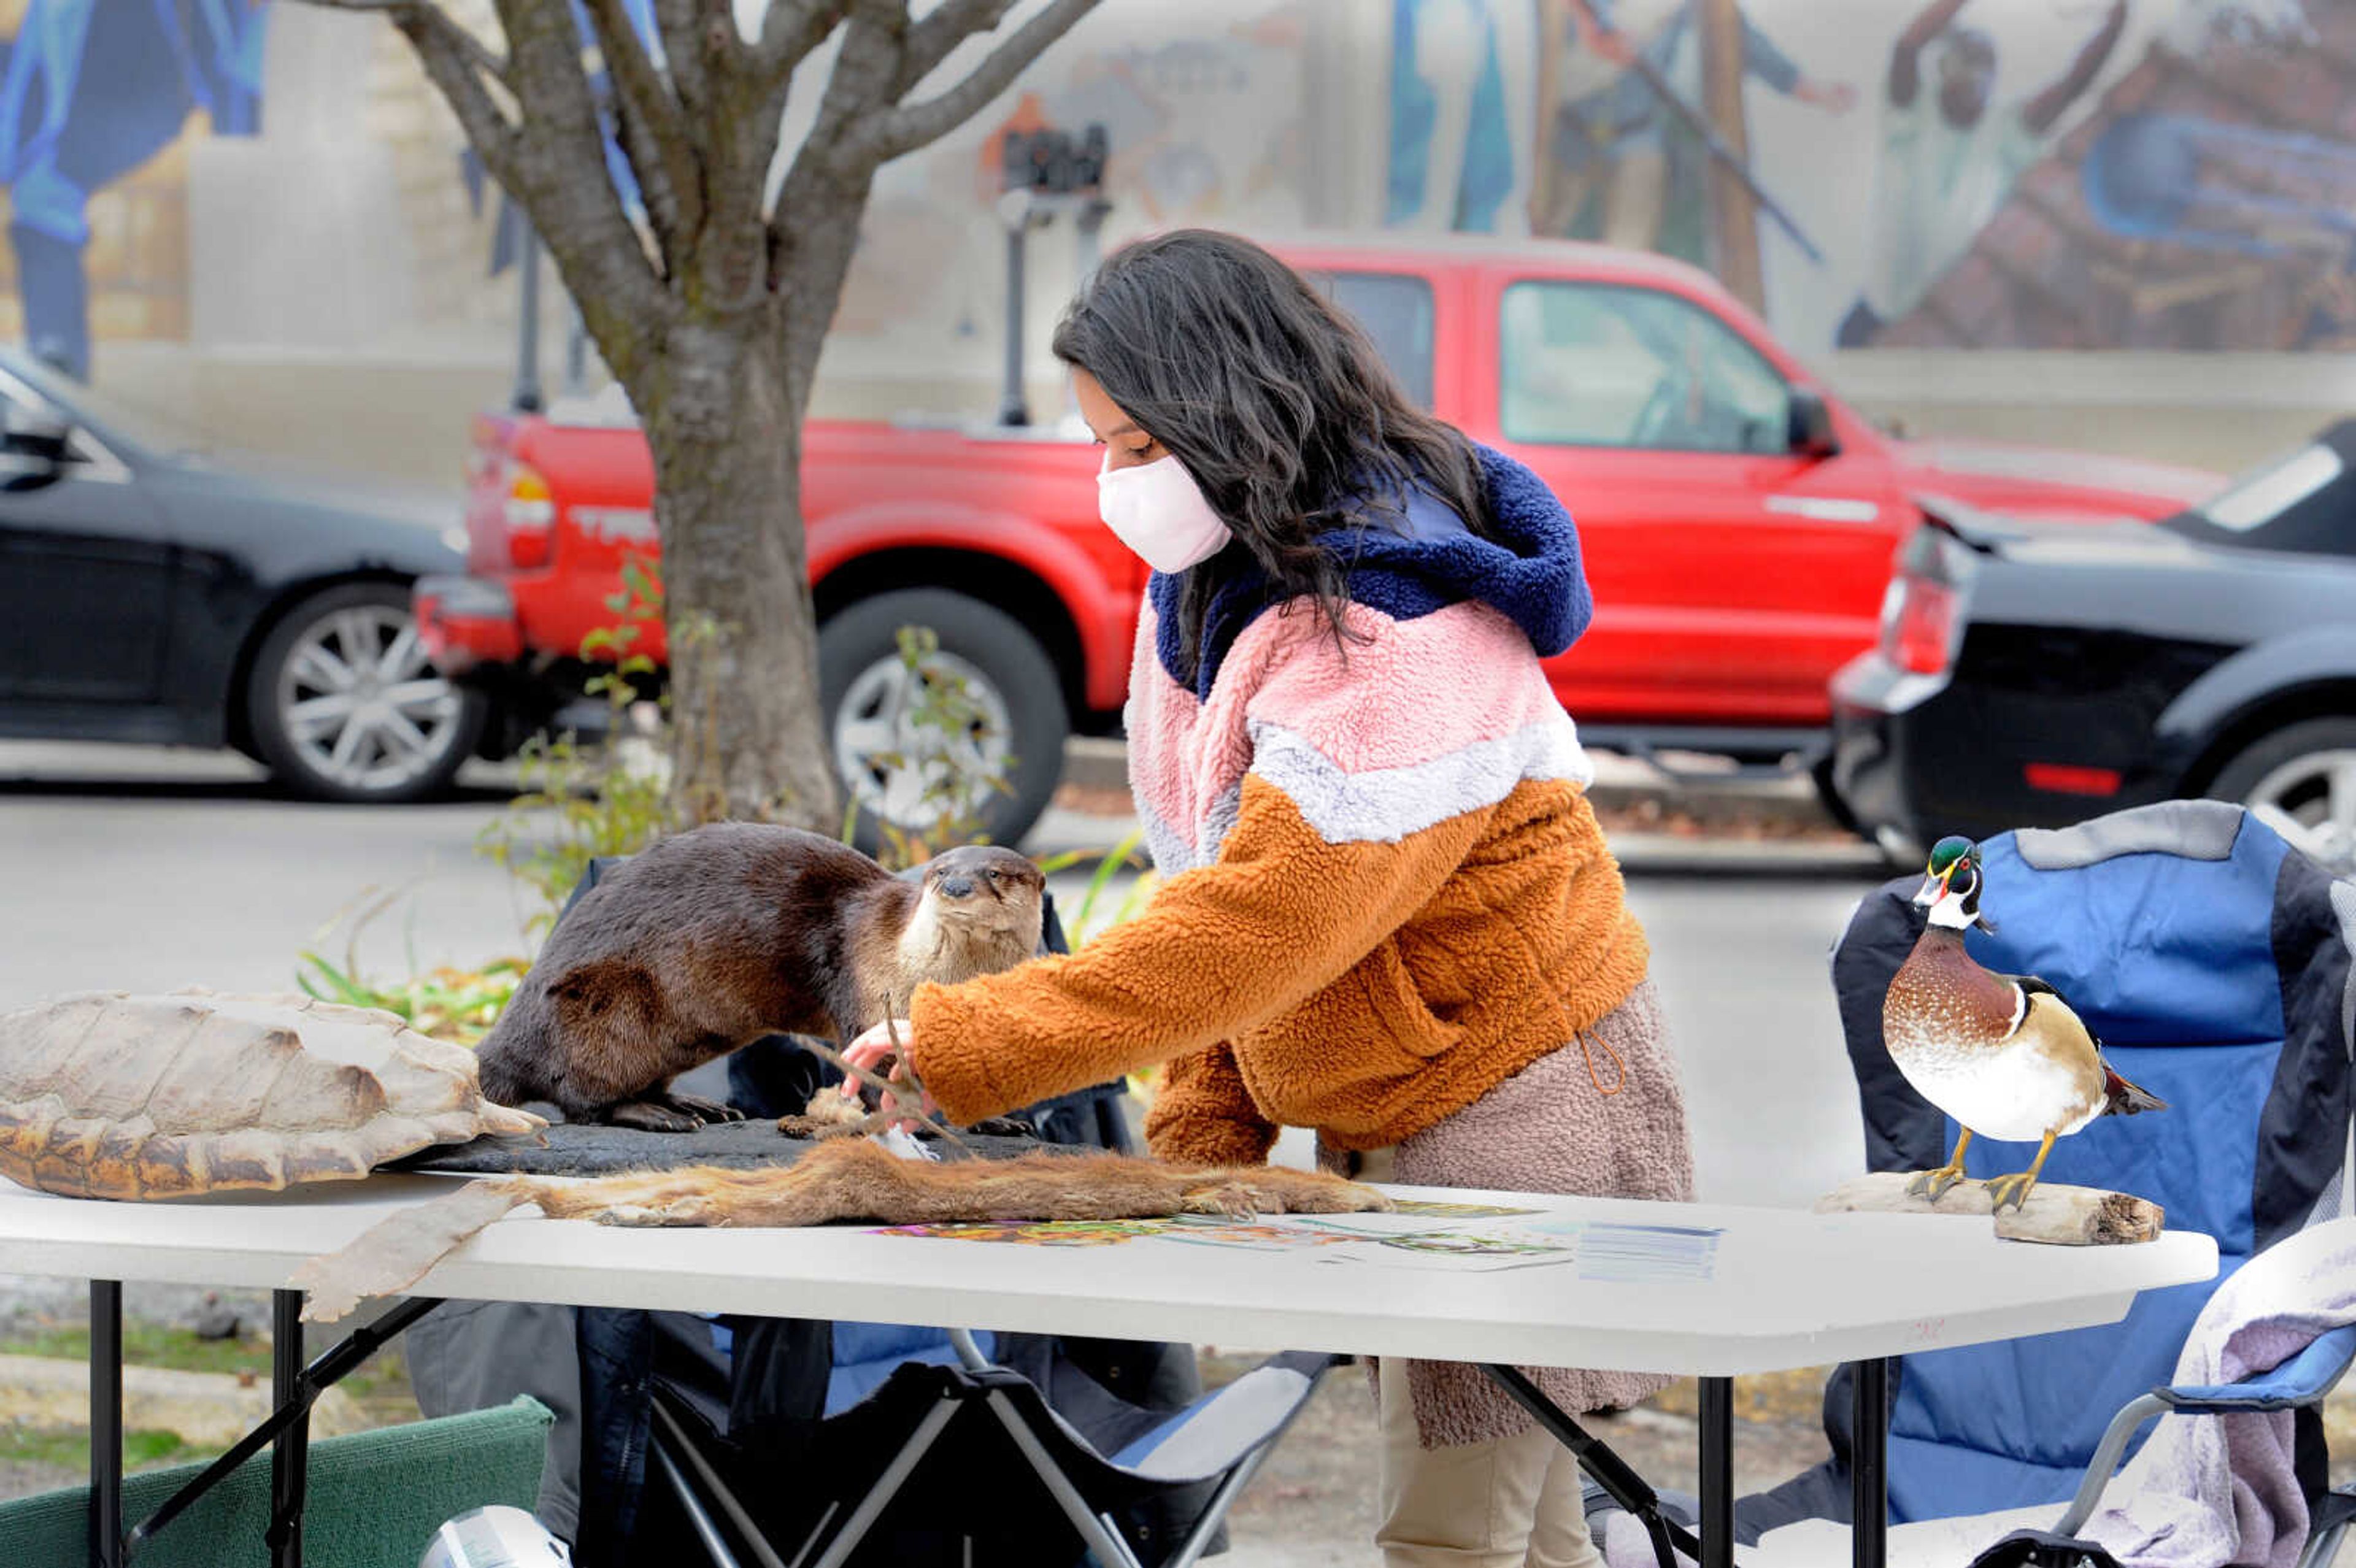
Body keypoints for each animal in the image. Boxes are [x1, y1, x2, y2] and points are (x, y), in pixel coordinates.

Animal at [473, 819, 1045, 1125]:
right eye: (939, 871)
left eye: (996, 874)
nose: (956, 887)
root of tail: (506, 1038)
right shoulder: (868, 1000)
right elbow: (873, 1068)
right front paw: (917, 1117)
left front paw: (992, 1120)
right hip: (604, 1004)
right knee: (579, 1098)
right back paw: (650, 1115)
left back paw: (695, 1106)